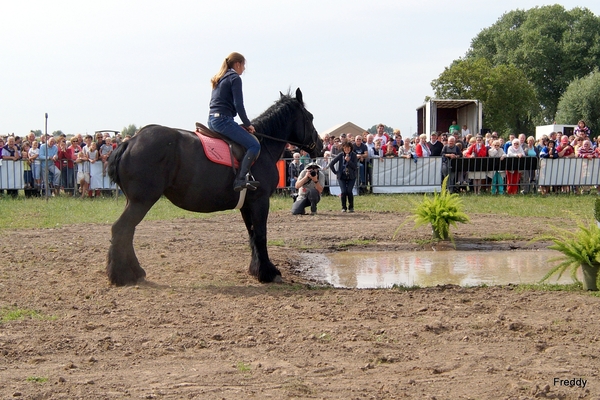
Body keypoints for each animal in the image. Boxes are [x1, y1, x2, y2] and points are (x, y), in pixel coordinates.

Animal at [108, 89, 324, 286]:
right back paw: (122, 275)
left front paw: (257, 270)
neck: (263, 147)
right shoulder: (260, 201)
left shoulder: (248, 204)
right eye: (310, 117)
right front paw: (268, 273)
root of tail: (130, 142)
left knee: (126, 232)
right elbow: (261, 235)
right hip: (142, 201)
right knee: (121, 229)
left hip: (134, 201)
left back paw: (132, 272)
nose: (321, 145)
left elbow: (252, 235)